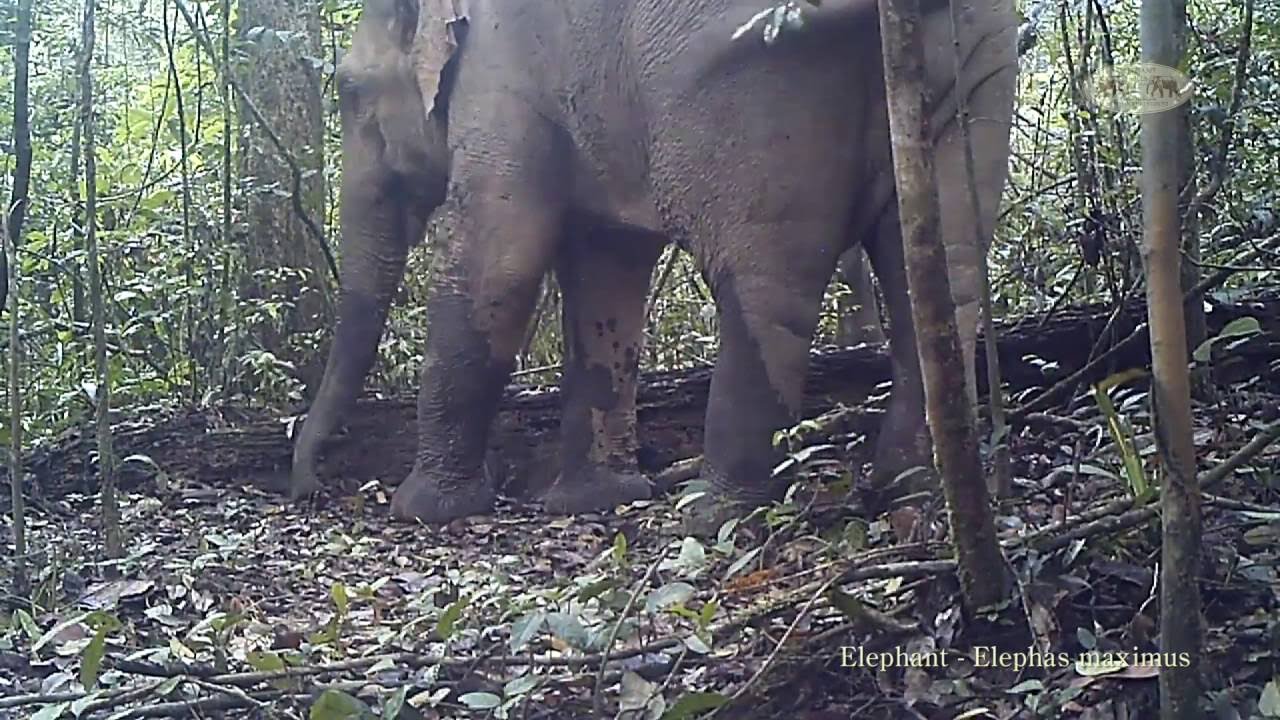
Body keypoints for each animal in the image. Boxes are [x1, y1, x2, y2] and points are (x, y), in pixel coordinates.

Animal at [288, 0, 1018, 526]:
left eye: (348, 90)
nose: (311, 484)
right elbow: (607, 264)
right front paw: (591, 500)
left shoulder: (502, 79)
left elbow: (498, 259)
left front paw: (422, 510)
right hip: (973, 66)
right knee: (939, 270)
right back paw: (912, 486)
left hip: (772, 77)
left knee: (766, 287)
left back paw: (712, 513)